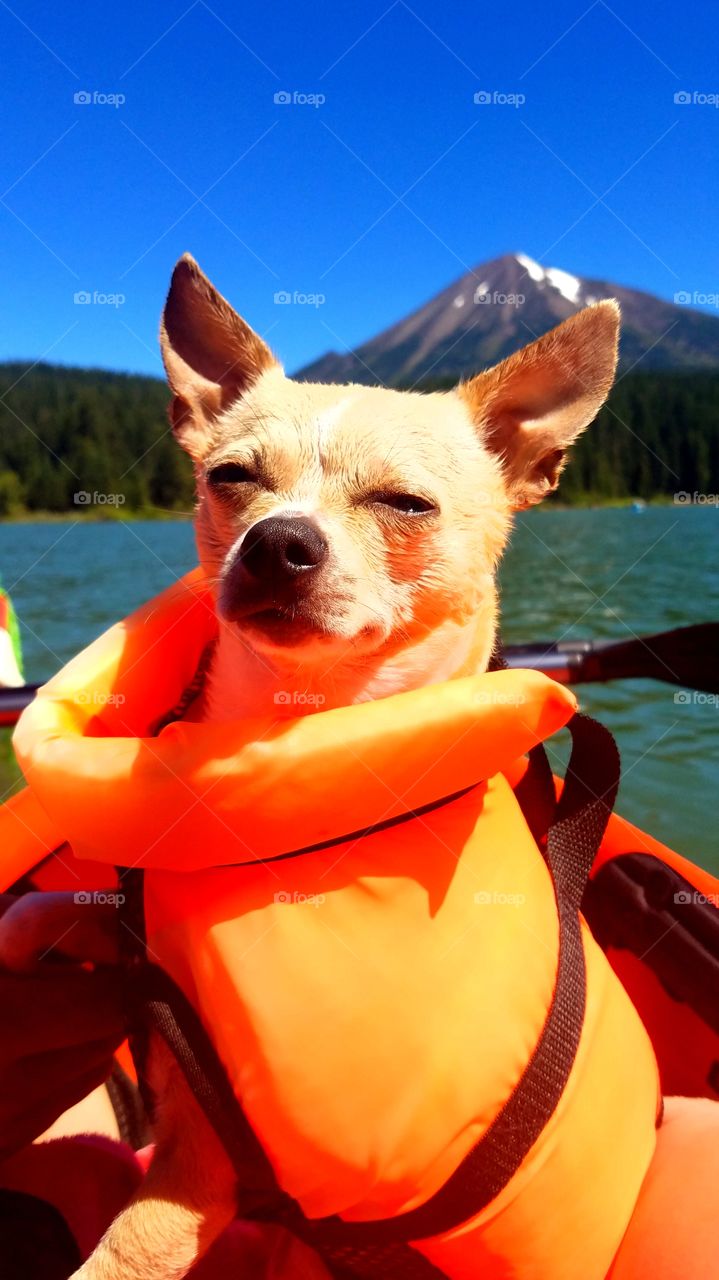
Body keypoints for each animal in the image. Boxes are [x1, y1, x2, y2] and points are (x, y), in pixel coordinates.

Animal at [72, 259, 619, 1280]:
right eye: (230, 478)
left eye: (405, 504)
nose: (278, 541)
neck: (304, 748)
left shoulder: (194, 1172)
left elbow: (120, 1255)